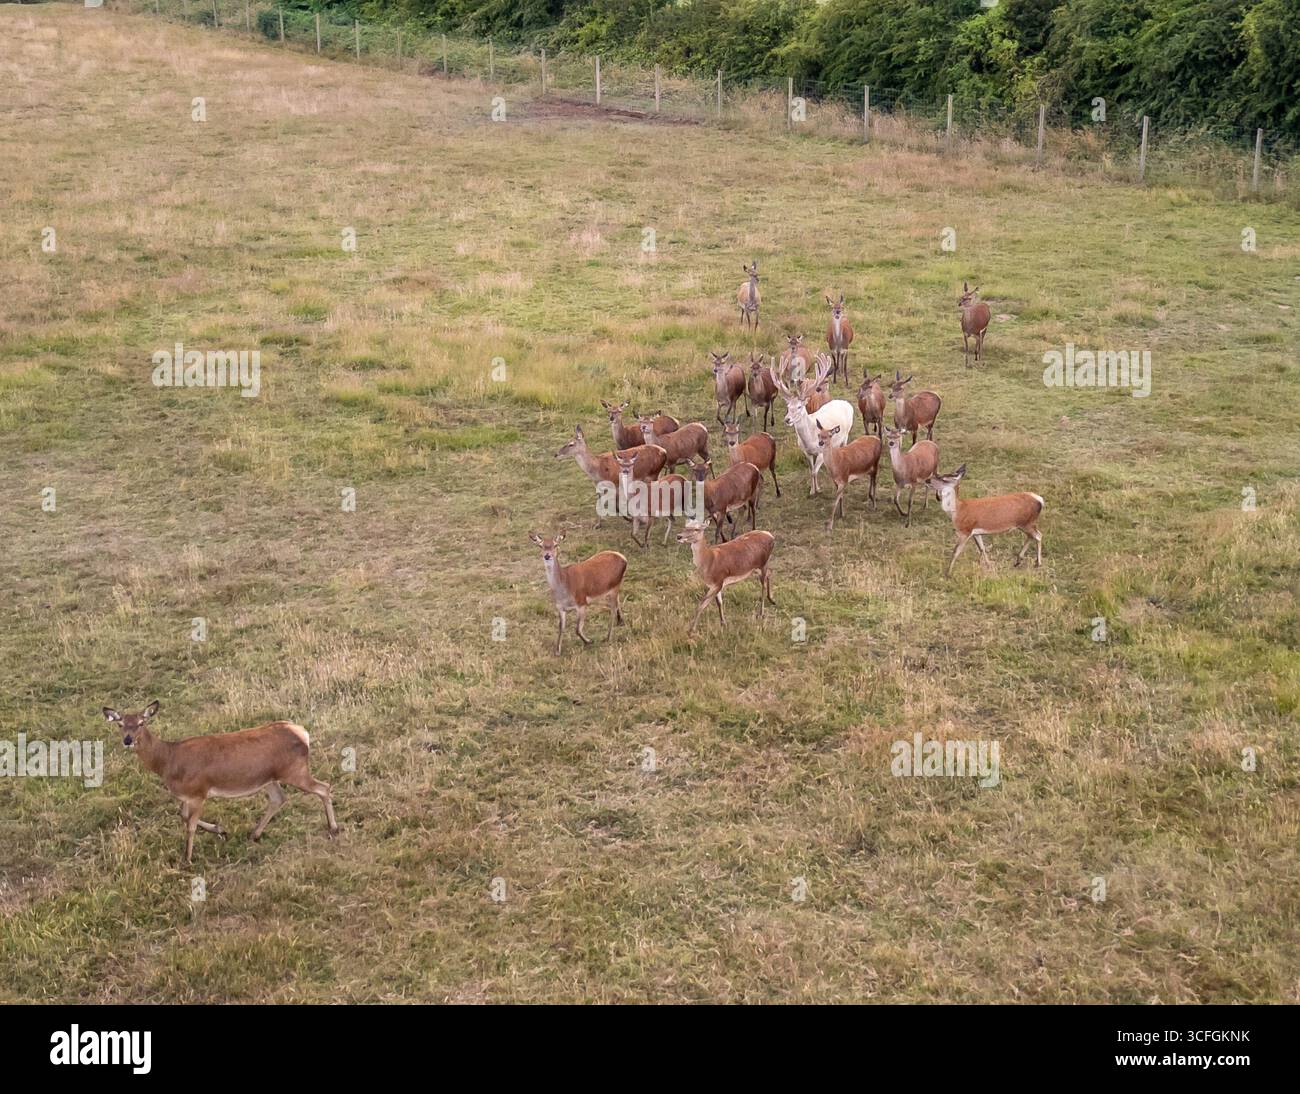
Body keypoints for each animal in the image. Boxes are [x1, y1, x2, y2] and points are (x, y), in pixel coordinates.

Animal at [101, 701, 337, 865]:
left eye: (141, 723)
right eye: (120, 724)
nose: (128, 740)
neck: (168, 761)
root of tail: (303, 733)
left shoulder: (199, 792)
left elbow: (190, 824)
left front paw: (187, 858)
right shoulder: (187, 795)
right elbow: (182, 815)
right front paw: (220, 830)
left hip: (295, 771)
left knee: (323, 787)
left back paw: (333, 827)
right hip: (269, 778)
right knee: (279, 798)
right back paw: (254, 834)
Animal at [772, 355, 854, 496]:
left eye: (799, 407)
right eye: (788, 407)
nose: (787, 419)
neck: (810, 439)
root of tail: (846, 403)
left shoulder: (821, 452)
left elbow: (815, 471)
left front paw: (818, 490)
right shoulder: (806, 452)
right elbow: (811, 471)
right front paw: (812, 490)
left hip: (846, 434)